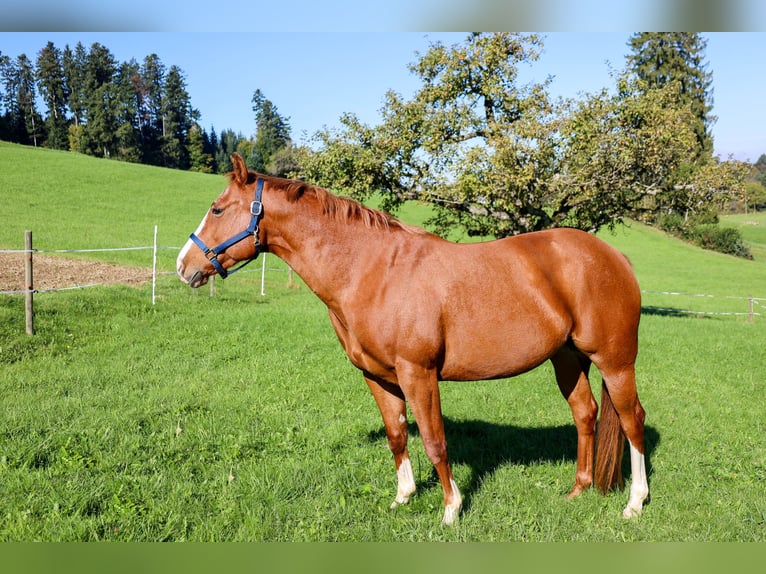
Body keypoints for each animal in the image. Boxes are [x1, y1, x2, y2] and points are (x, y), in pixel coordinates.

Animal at [178, 153, 648, 528]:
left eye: (217, 210)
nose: (185, 266)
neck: (372, 270)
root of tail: (616, 258)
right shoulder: (378, 376)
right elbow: (397, 435)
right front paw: (402, 497)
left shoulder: (418, 373)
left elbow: (435, 442)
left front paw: (451, 510)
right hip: (567, 359)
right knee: (586, 414)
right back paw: (578, 490)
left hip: (615, 361)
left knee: (632, 419)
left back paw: (635, 504)